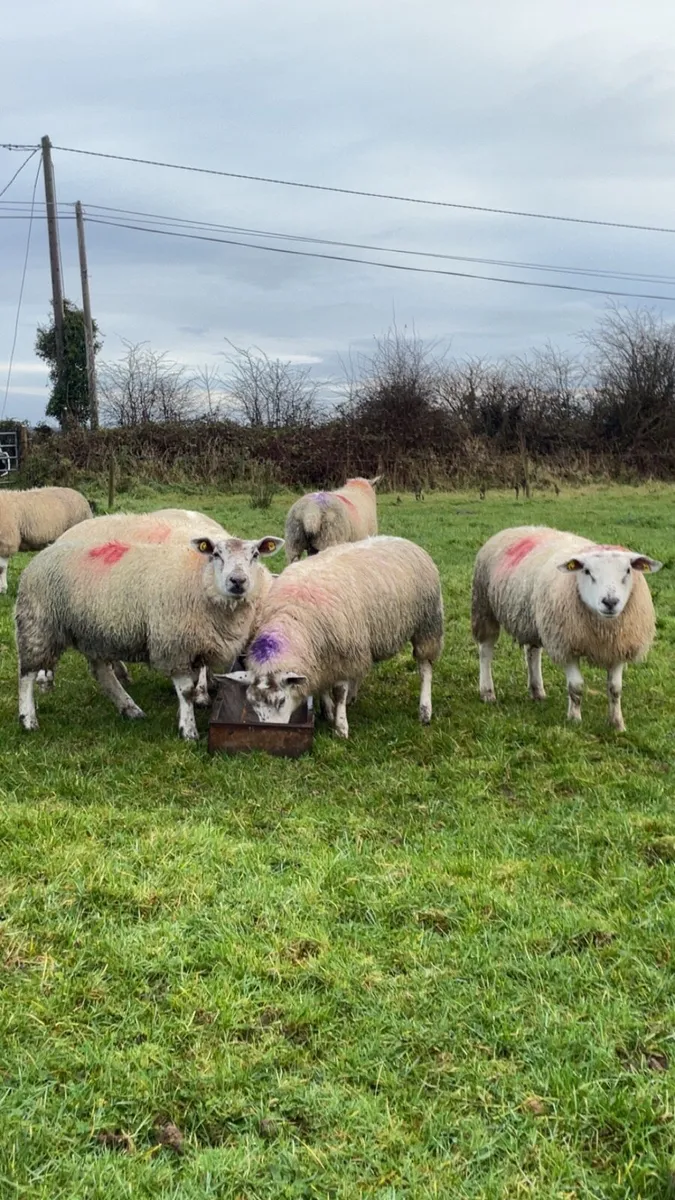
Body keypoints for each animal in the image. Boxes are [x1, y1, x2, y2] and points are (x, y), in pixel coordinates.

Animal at [15, 519, 284, 740]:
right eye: (216, 554)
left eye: (255, 554)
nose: (238, 581)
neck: (200, 580)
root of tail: (46, 550)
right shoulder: (174, 644)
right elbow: (185, 690)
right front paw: (188, 730)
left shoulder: (195, 644)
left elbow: (197, 679)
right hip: (38, 624)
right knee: (26, 674)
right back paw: (28, 719)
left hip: (92, 630)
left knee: (101, 671)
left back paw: (129, 707)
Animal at [223, 535, 444, 739]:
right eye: (252, 703)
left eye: (282, 701)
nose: (270, 733)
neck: (292, 616)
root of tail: (403, 539)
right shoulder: (321, 657)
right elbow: (323, 686)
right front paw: (328, 710)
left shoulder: (343, 653)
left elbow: (339, 692)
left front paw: (340, 727)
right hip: (366, 635)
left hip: (428, 624)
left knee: (425, 668)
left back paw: (425, 710)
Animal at [471, 525, 663, 731]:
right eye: (587, 571)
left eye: (627, 571)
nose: (610, 602)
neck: (603, 630)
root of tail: (519, 527)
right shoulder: (566, 645)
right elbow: (576, 687)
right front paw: (575, 719)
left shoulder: (618, 647)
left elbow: (615, 689)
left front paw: (617, 723)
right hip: (484, 606)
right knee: (486, 650)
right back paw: (487, 692)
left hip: (532, 618)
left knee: (532, 651)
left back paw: (537, 690)